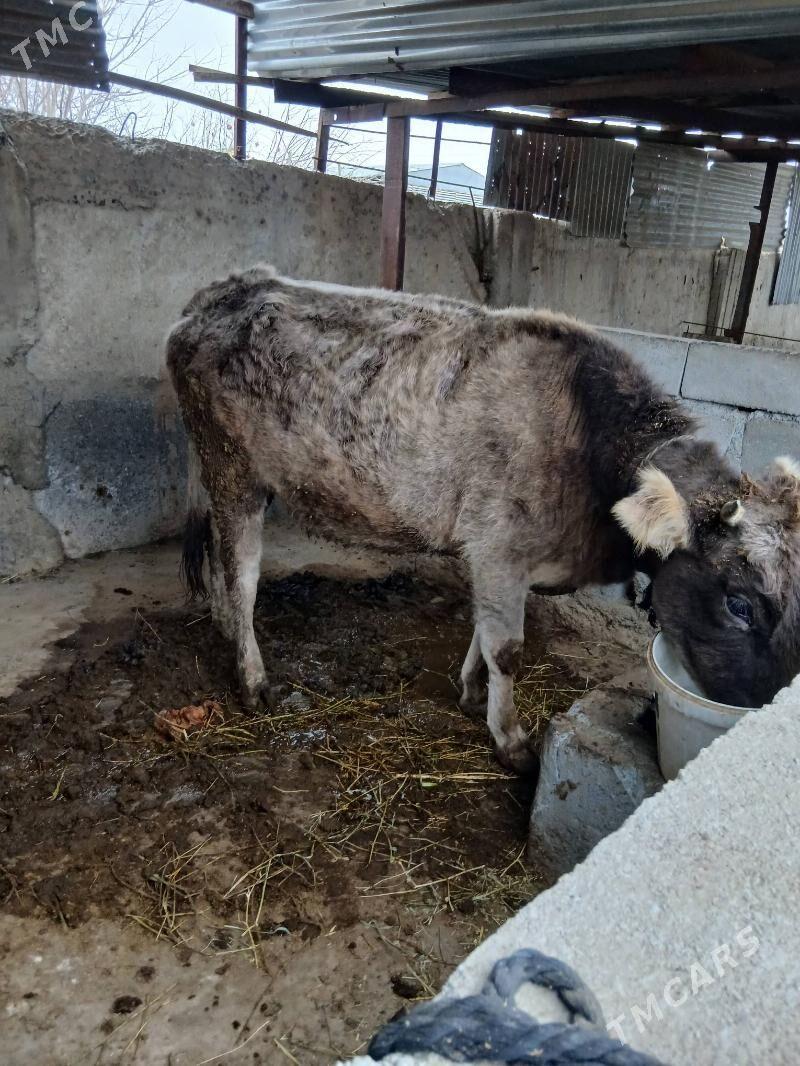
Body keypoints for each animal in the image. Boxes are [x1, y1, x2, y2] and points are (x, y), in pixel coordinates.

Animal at [167, 265, 800, 772]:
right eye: (739, 604)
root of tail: (227, 288)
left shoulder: (495, 556)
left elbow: (483, 632)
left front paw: (472, 692)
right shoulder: (500, 545)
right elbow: (508, 648)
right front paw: (512, 738)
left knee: (221, 561)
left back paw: (226, 629)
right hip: (232, 468)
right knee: (241, 573)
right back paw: (252, 678)